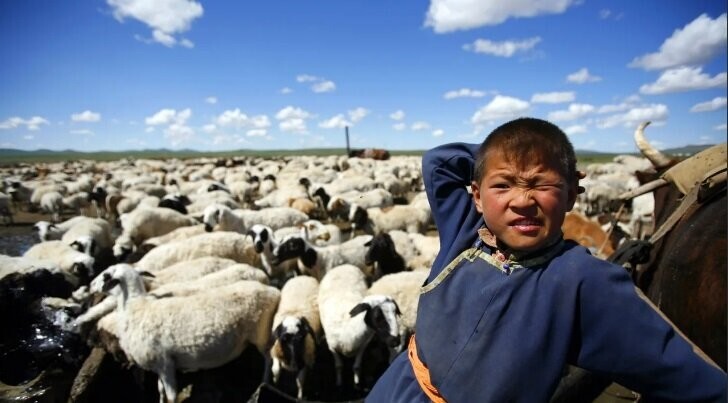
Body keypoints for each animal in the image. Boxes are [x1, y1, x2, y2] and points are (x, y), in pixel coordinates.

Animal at [95, 266, 280, 403]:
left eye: (105, 275)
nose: (92, 285)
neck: (135, 306)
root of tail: (273, 290)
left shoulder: (165, 363)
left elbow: (171, 396)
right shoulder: (158, 365)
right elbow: (160, 390)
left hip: (261, 334)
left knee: (269, 358)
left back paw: (264, 383)